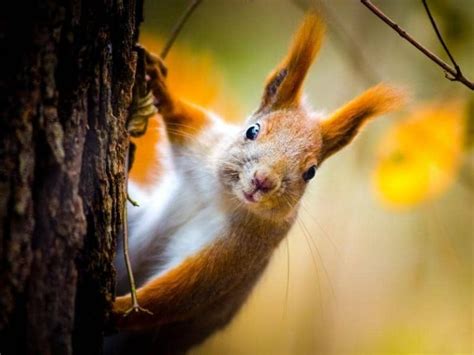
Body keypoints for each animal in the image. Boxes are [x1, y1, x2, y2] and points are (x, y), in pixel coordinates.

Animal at [107, 12, 404, 354]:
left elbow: (183, 290)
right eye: (252, 130)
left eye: (311, 172)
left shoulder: (241, 251)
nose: (263, 180)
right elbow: (184, 117)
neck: (223, 196)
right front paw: (159, 84)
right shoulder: (202, 144)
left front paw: (115, 310)